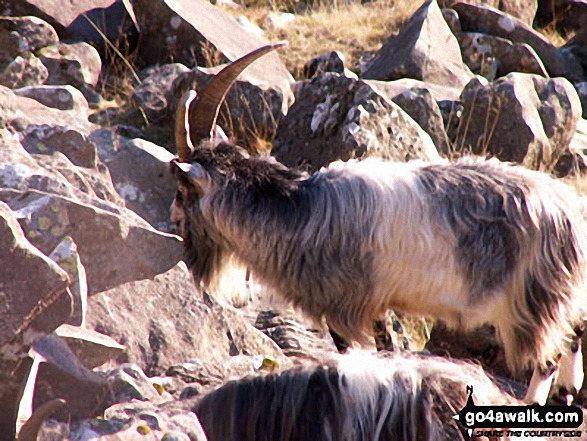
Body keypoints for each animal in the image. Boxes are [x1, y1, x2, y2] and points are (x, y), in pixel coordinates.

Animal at [170, 43, 587, 402]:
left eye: (181, 187)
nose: (173, 220)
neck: (299, 209)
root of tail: (569, 214)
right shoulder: (376, 306)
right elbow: (387, 348)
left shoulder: (343, 304)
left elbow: (350, 351)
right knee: (574, 332)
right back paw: (569, 391)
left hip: (531, 302)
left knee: (547, 358)